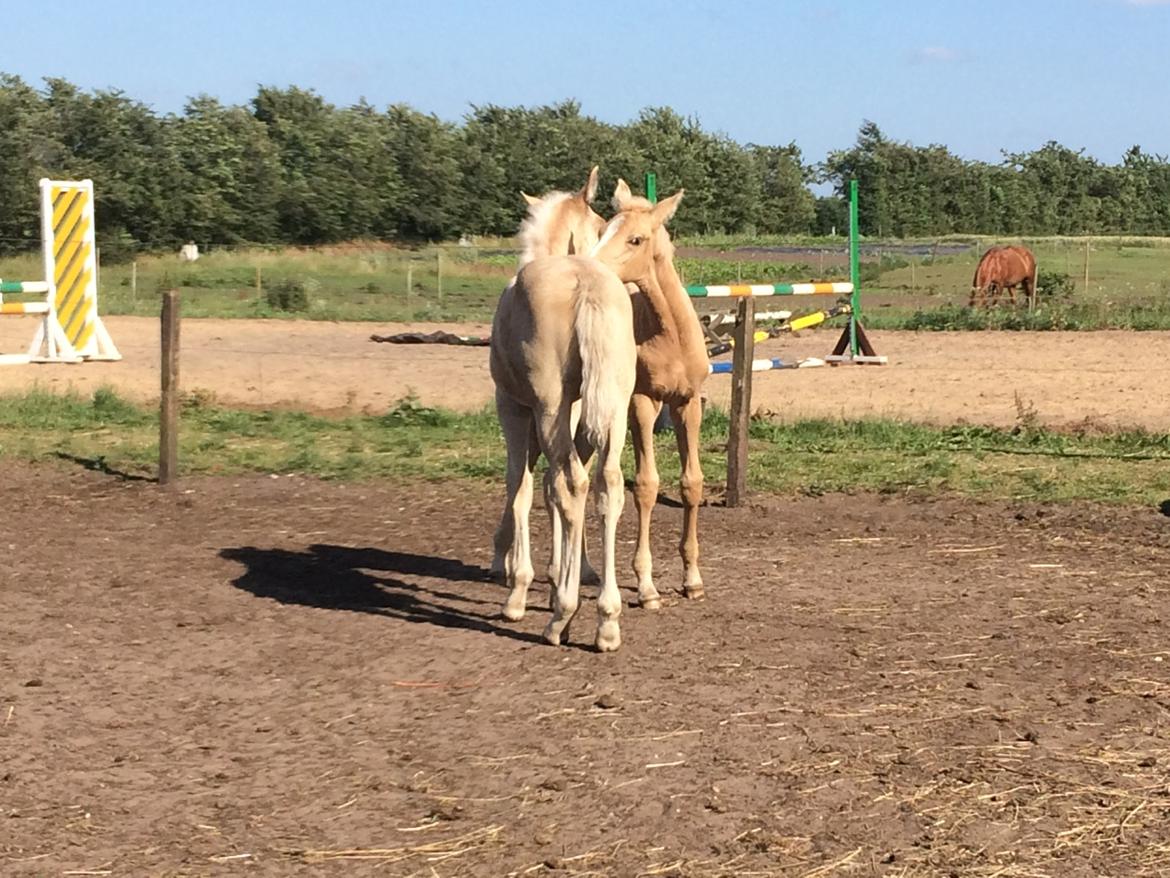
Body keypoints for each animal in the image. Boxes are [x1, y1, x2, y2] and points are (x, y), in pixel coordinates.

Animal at [589, 183, 706, 613]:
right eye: (604, 229)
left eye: (636, 239)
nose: (590, 267)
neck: (670, 336)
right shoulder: (643, 403)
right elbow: (646, 486)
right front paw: (646, 587)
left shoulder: (688, 402)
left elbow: (692, 483)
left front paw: (692, 580)